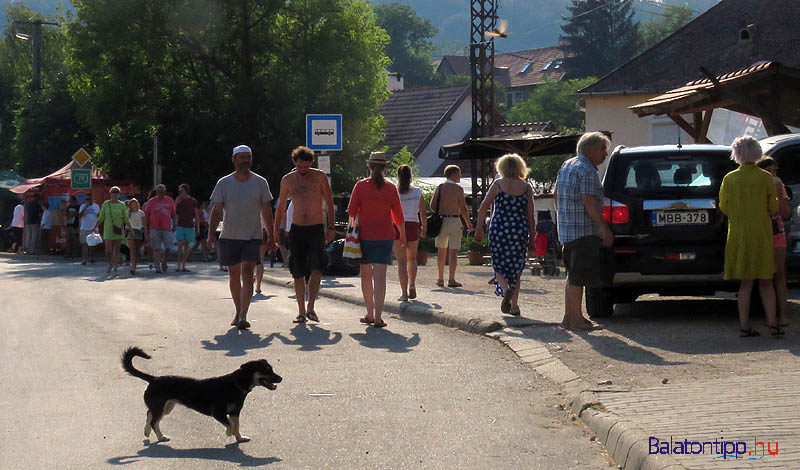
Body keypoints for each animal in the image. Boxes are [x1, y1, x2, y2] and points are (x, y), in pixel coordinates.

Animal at [119, 346, 282, 442]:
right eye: (266, 370)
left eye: (272, 369)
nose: (281, 378)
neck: (236, 384)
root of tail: (153, 378)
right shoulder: (219, 413)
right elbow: (230, 425)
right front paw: (228, 433)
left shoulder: (235, 413)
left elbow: (237, 425)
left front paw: (239, 438)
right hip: (161, 407)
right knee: (154, 421)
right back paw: (161, 436)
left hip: (167, 406)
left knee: (149, 414)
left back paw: (147, 432)